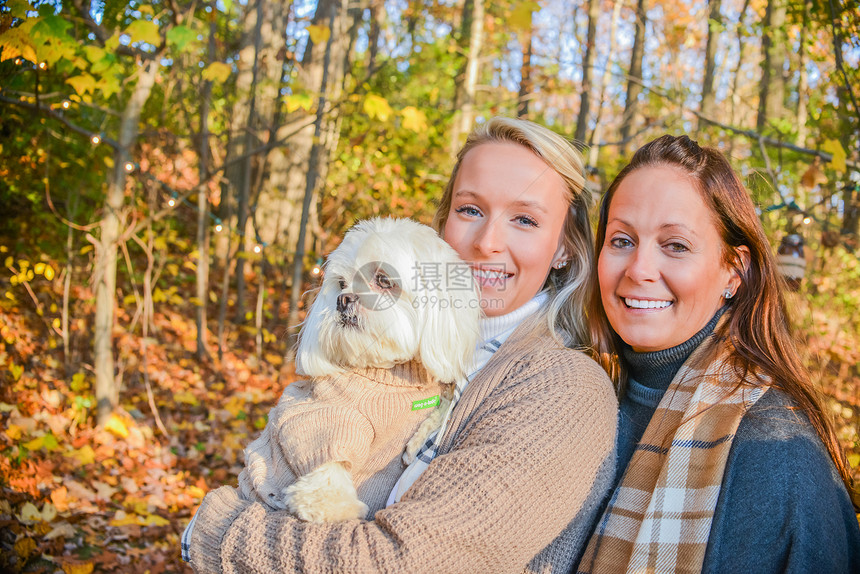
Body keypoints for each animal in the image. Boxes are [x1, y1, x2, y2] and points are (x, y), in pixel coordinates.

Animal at [237, 218, 478, 524]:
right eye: (341, 283)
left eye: (384, 280)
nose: (343, 299)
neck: (387, 374)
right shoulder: (318, 414)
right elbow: (325, 462)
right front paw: (332, 506)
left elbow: (445, 402)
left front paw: (418, 441)